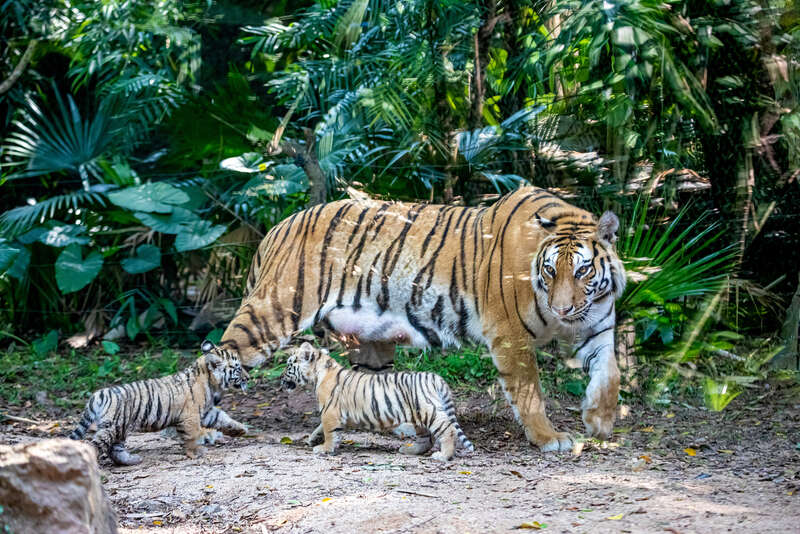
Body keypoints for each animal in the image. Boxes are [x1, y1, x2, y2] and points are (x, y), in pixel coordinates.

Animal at [212, 187, 624, 452]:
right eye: (551, 270)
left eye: (583, 271)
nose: (563, 311)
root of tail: (277, 228)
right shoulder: (510, 335)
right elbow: (529, 392)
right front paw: (550, 439)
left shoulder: (597, 327)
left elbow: (611, 372)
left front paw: (599, 421)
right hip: (271, 312)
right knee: (217, 356)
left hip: (367, 342)